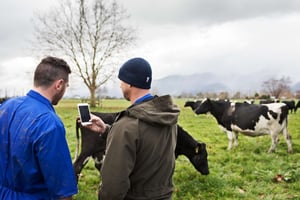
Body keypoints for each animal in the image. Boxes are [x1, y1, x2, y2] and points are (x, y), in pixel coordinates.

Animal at [73, 111, 210, 180]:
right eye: (202, 157)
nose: (207, 172)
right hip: (88, 148)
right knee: (77, 166)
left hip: (97, 150)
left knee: (97, 165)